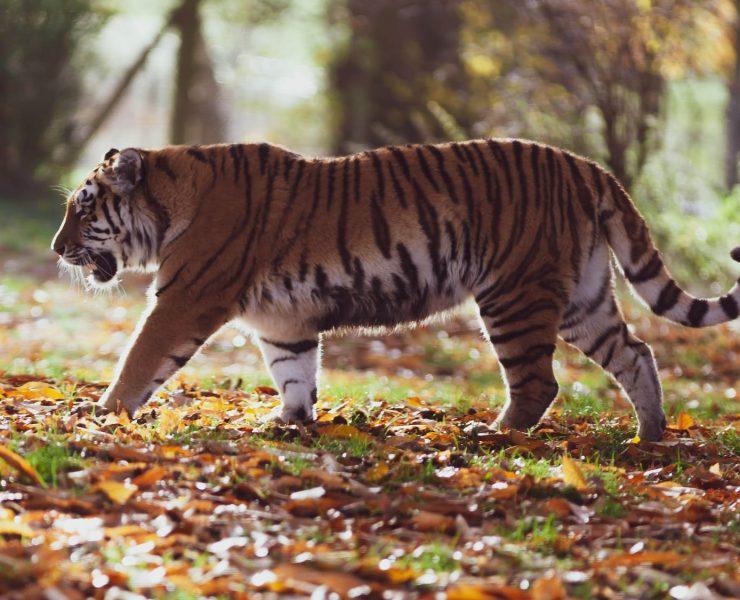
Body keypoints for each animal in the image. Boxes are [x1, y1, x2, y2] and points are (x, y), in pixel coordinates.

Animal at [51, 140, 740, 440]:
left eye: (83, 209)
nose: (57, 250)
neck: (171, 199)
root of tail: (587, 166)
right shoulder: (283, 322)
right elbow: (294, 372)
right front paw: (289, 422)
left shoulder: (184, 299)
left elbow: (139, 359)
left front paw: (101, 413)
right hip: (581, 299)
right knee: (636, 353)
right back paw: (649, 436)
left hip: (515, 294)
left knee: (539, 382)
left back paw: (494, 434)